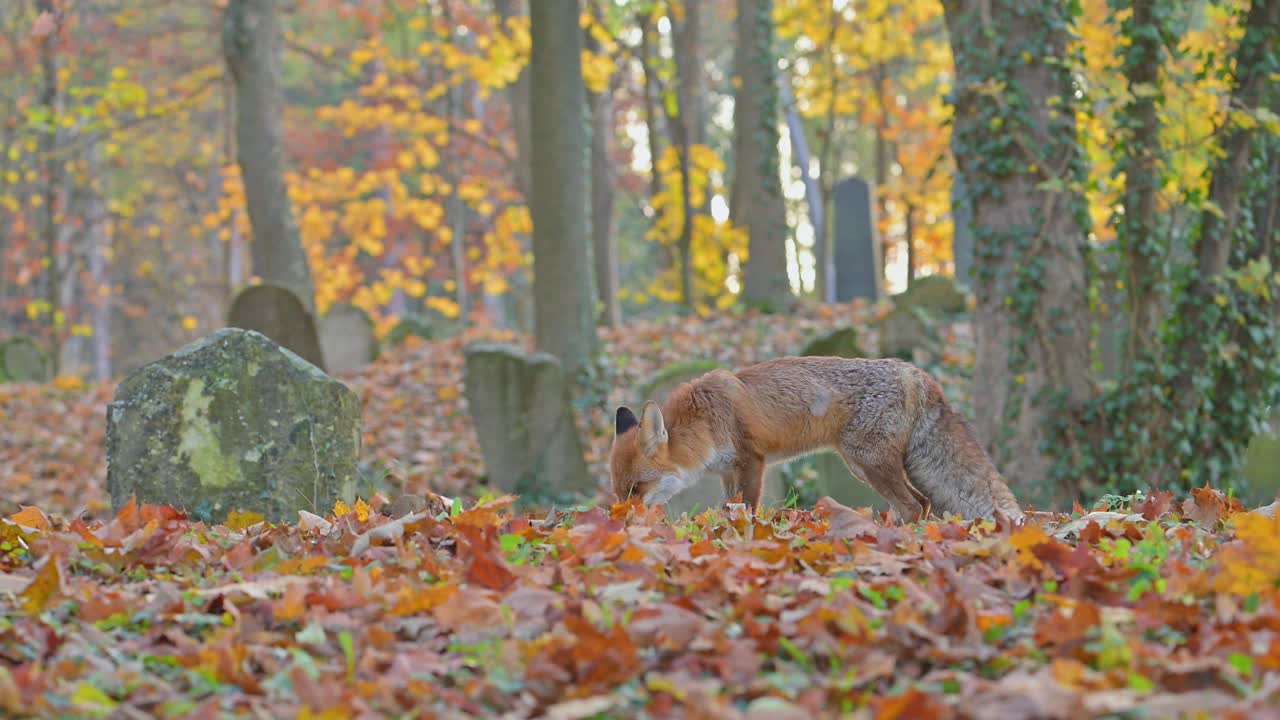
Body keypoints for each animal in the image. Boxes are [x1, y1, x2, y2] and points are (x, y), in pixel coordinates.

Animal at [611, 353, 1029, 517]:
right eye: (617, 492)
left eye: (636, 488)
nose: (620, 520)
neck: (704, 421)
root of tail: (912, 370)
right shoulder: (728, 470)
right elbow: (730, 506)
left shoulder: (752, 460)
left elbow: (747, 508)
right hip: (865, 467)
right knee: (923, 503)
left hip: (869, 463)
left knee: (913, 505)